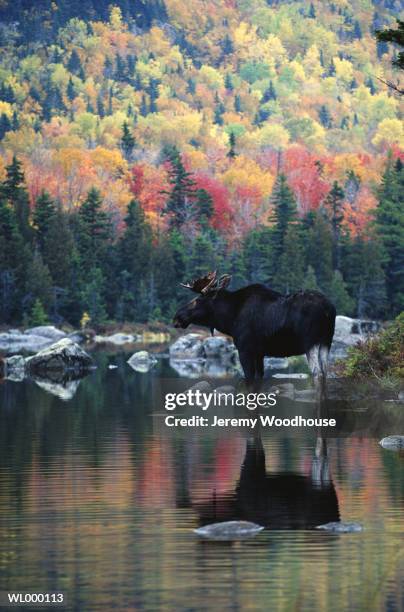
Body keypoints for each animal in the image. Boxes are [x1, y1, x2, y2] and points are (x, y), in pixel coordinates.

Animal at [172, 272, 336, 384]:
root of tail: (329, 309)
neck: (229, 319)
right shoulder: (259, 352)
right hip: (326, 342)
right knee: (325, 372)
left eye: (198, 300)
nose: (177, 318)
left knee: (317, 374)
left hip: (310, 342)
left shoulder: (245, 349)